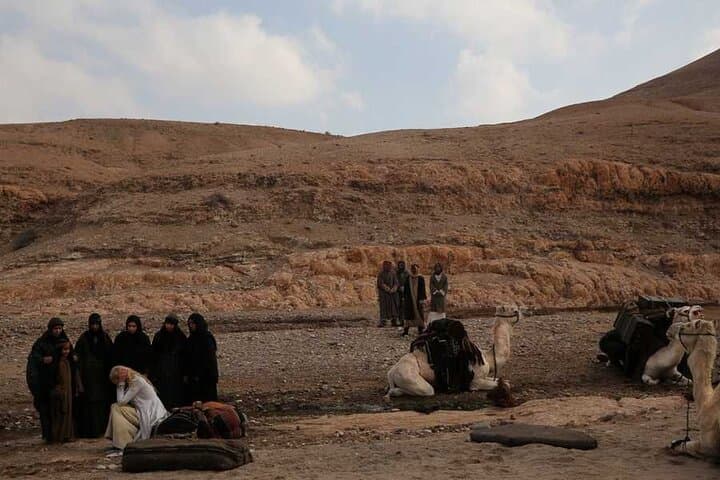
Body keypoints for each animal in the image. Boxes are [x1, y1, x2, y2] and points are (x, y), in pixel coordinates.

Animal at [385, 307, 521, 398]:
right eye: (511, 309)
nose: (519, 311)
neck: (487, 358)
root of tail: (391, 372)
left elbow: (504, 382)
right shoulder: (475, 381)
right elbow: (505, 384)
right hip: (409, 377)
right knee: (426, 390)